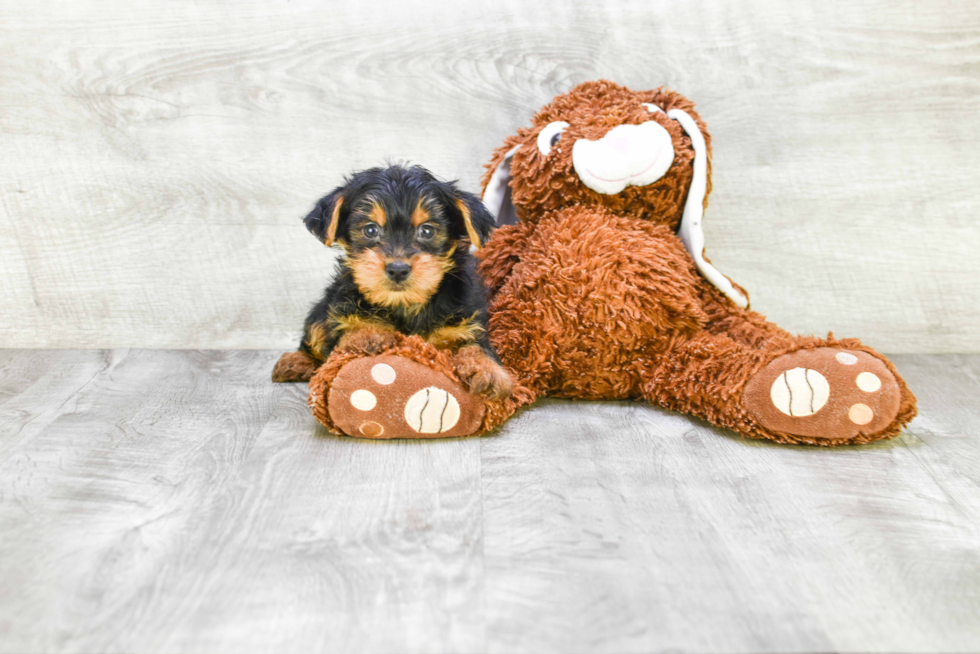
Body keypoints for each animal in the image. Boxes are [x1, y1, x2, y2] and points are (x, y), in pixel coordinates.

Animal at [268, 164, 512, 400]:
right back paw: (296, 361)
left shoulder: (464, 322)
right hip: (322, 308)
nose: (397, 269)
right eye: (370, 229)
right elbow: (348, 328)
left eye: (427, 231)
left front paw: (490, 371)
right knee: (314, 332)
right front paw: (367, 332)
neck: (405, 304)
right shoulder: (340, 309)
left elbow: (476, 345)